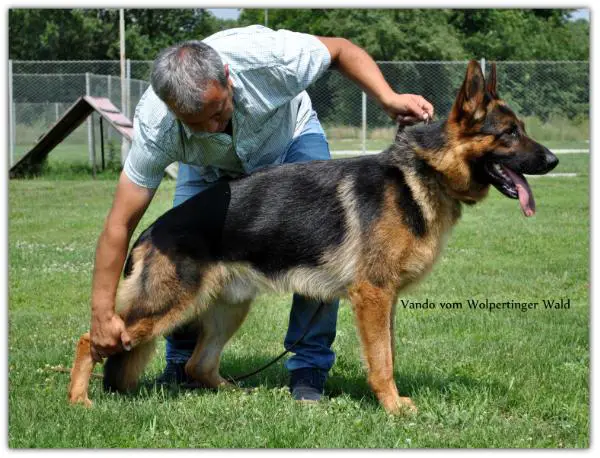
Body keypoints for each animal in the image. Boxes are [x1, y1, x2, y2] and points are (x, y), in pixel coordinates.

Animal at [69, 60, 556, 416]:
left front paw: (393, 401)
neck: (424, 172)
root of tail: (149, 231)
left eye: (521, 128)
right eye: (509, 133)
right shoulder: (373, 296)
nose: (552, 159)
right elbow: (382, 360)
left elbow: (389, 353)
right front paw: (392, 407)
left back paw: (235, 394)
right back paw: (79, 400)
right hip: (167, 306)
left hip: (229, 307)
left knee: (197, 363)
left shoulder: (386, 299)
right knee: (92, 340)